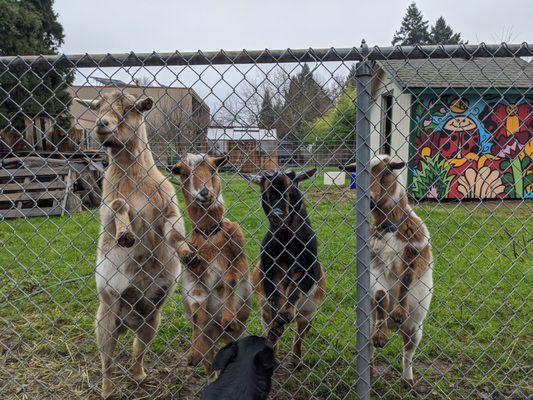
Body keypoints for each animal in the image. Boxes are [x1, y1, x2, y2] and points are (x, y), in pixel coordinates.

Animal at [74, 91, 192, 400]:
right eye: (98, 108)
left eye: (130, 109)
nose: (101, 124)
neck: (135, 180)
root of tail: (128, 320)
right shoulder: (107, 207)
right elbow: (118, 207)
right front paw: (126, 235)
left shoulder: (169, 205)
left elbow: (175, 230)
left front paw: (185, 250)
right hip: (106, 315)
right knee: (108, 358)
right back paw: (106, 390)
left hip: (152, 317)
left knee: (140, 348)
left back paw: (139, 376)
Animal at [171, 154, 252, 376]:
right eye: (182, 172)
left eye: (214, 169)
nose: (204, 192)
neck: (210, 235)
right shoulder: (195, 277)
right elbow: (198, 309)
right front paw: (193, 355)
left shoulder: (239, 259)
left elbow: (230, 280)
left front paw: (228, 319)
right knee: (210, 361)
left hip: (234, 336)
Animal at [242, 167, 324, 368]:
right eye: (265, 193)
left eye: (292, 189)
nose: (277, 215)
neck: (287, 240)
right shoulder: (268, 270)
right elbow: (274, 296)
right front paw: (278, 322)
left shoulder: (308, 271)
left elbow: (295, 289)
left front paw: (285, 315)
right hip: (264, 313)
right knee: (272, 332)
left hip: (308, 314)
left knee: (299, 335)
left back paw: (296, 361)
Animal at [340, 155, 432, 386]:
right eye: (358, 174)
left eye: (387, 172)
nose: (370, 198)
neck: (390, 228)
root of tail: (396, 329)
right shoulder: (374, 267)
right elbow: (381, 295)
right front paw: (381, 337)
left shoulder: (414, 256)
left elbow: (406, 281)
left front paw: (399, 312)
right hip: (366, 328)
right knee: (369, 351)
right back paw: (371, 371)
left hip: (416, 331)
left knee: (407, 353)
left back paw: (408, 379)